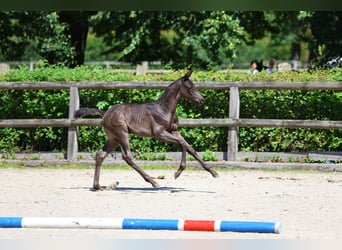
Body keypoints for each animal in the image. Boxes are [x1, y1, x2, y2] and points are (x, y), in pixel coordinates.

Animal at [75, 70, 219, 189]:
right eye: (189, 87)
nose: (201, 100)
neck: (165, 109)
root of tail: (105, 113)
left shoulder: (174, 131)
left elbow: (190, 148)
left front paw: (213, 172)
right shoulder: (159, 134)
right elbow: (182, 144)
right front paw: (178, 172)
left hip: (113, 138)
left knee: (101, 155)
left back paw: (98, 186)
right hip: (122, 133)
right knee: (127, 156)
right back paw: (153, 181)